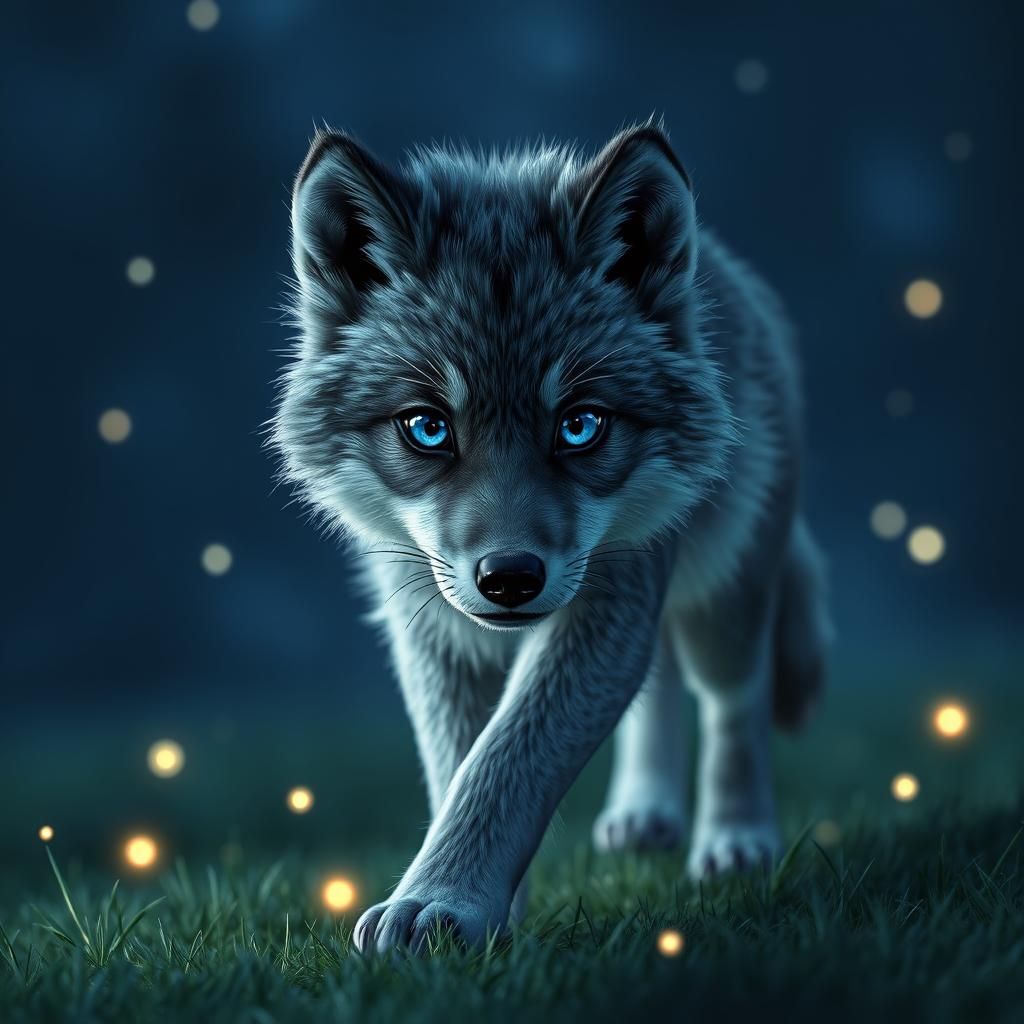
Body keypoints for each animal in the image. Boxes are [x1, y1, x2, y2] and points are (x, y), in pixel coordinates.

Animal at [272, 121, 831, 955]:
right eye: (428, 428)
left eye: (579, 425)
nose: (510, 577)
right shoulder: (435, 629)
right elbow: (461, 768)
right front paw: (479, 910)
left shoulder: (607, 602)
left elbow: (506, 763)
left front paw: (440, 903)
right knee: (660, 681)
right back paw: (644, 817)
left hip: (720, 603)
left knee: (735, 697)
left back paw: (737, 840)